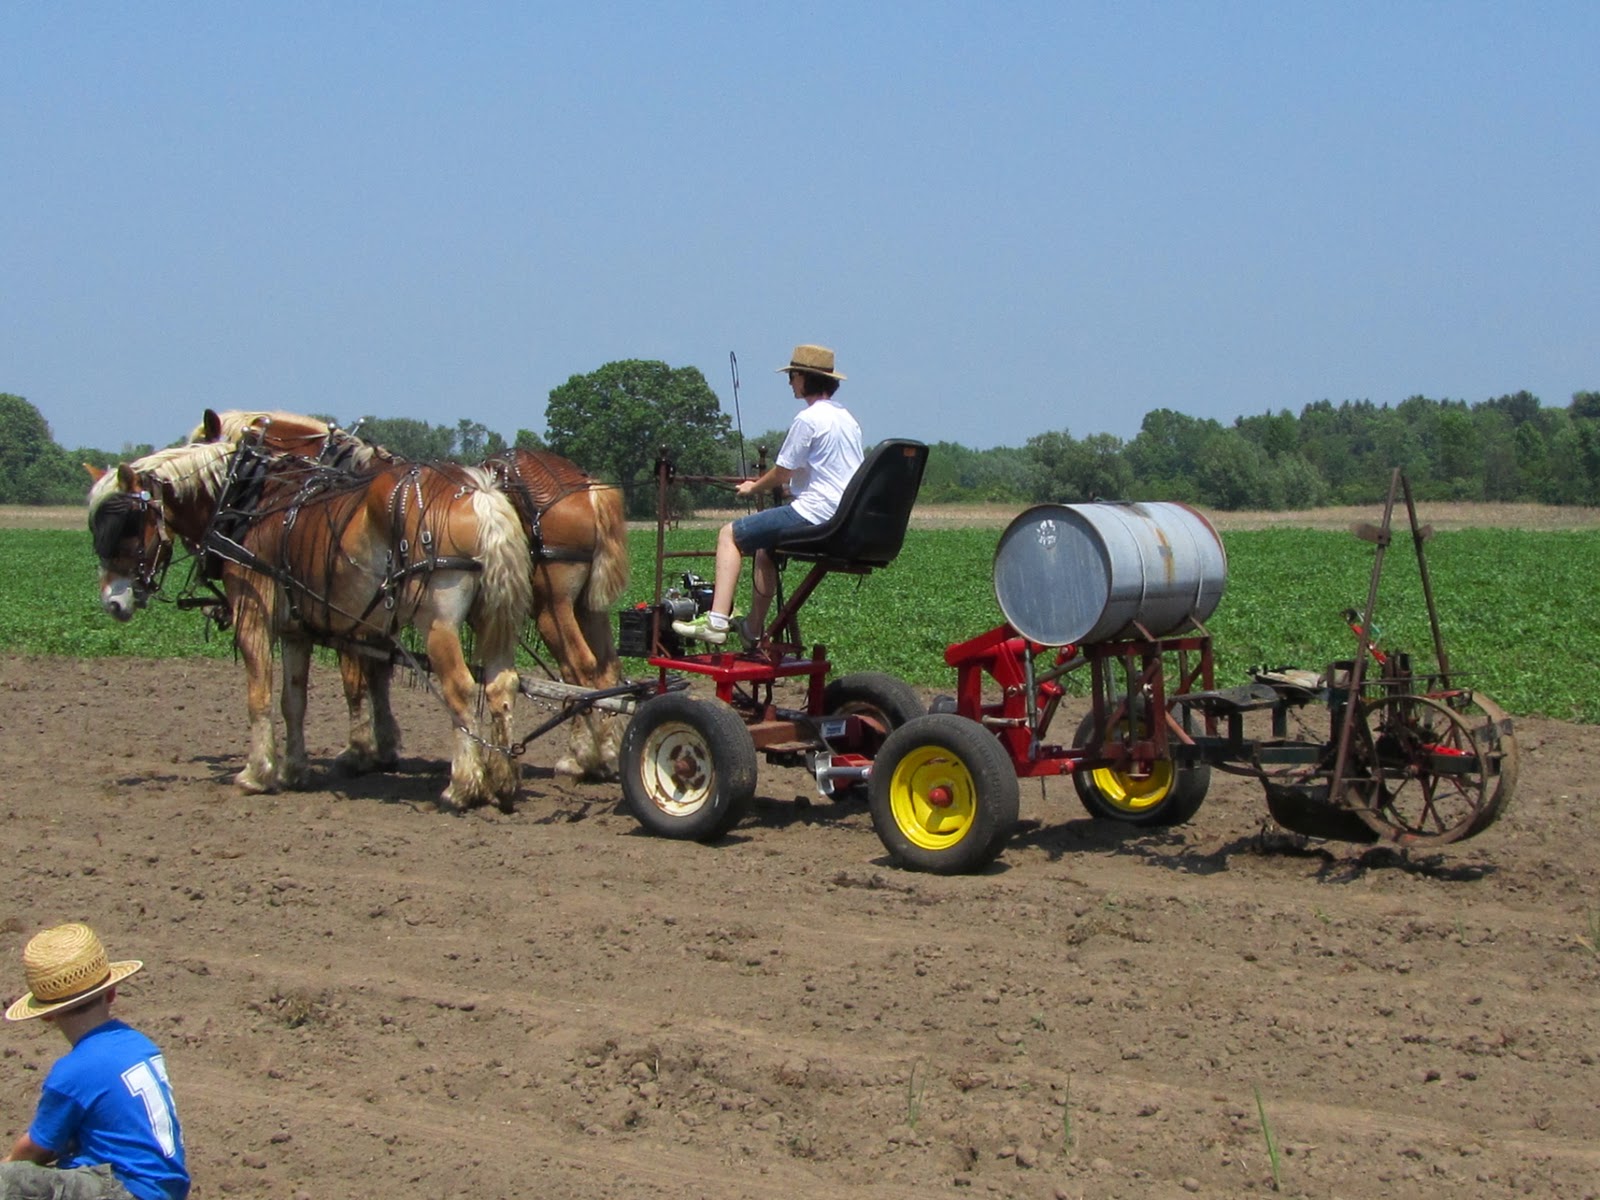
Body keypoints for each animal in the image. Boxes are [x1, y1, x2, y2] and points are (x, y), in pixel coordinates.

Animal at [87, 438, 534, 812]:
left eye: (127, 527)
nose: (112, 601)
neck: (247, 503)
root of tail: (479, 494)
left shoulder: (254, 613)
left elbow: (259, 696)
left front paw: (257, 773)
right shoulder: (295, 631)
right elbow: (293, 701)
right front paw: (293, 770)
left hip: (438, 623)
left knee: (460, 688)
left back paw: (462, 786)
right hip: (493, 618)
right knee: (501, 686)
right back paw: (503, 781)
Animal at [190, 412, 627, 780]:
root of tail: (588, 488)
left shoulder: (350, 614)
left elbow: (355, 679)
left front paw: (359, 751)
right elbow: (377, 675)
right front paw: (380, 747)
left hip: (552, 606)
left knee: (580, 669)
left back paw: (579, 757)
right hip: (587, 607)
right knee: (606, 669)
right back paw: (604, 752)